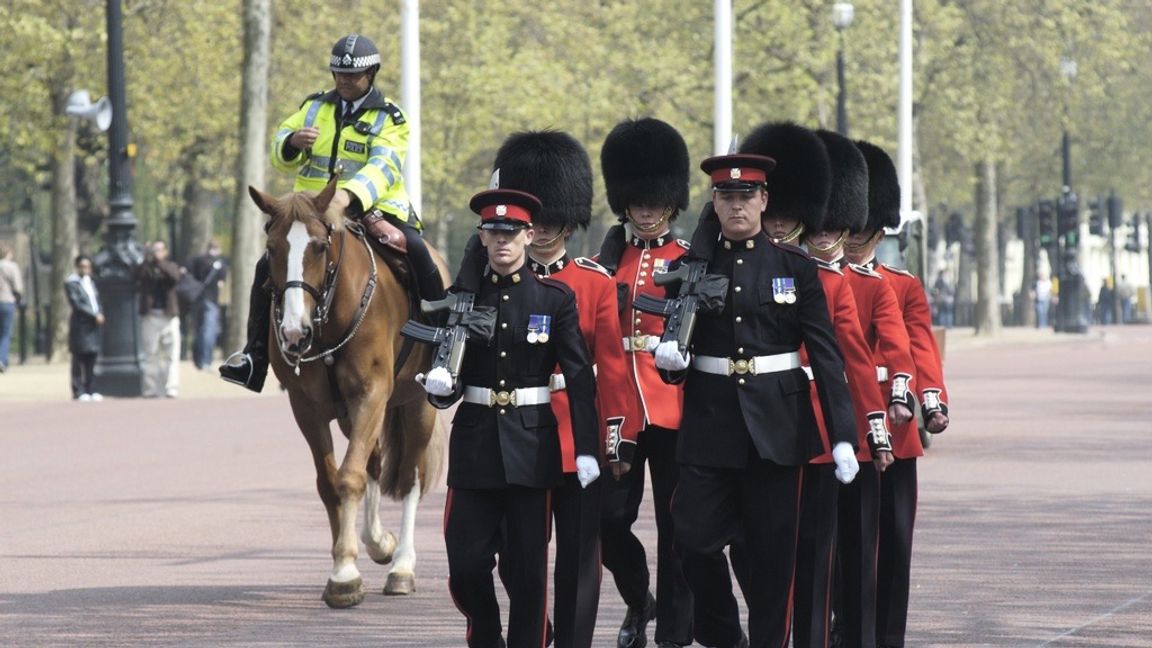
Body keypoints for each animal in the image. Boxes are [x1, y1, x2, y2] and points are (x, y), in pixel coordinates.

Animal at [251, 178, 444, 608]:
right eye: (271, 248)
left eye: (320, 246)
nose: (294, 333)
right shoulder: (307, 407)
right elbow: (330, 482)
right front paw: (346, 562)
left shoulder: (372, 394)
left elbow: (350, 477)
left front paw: (344, 574)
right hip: (350, 414)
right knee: (374, 463)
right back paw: (377, 542)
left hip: (416, 405)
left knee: (410, 475)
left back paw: (401, 565)